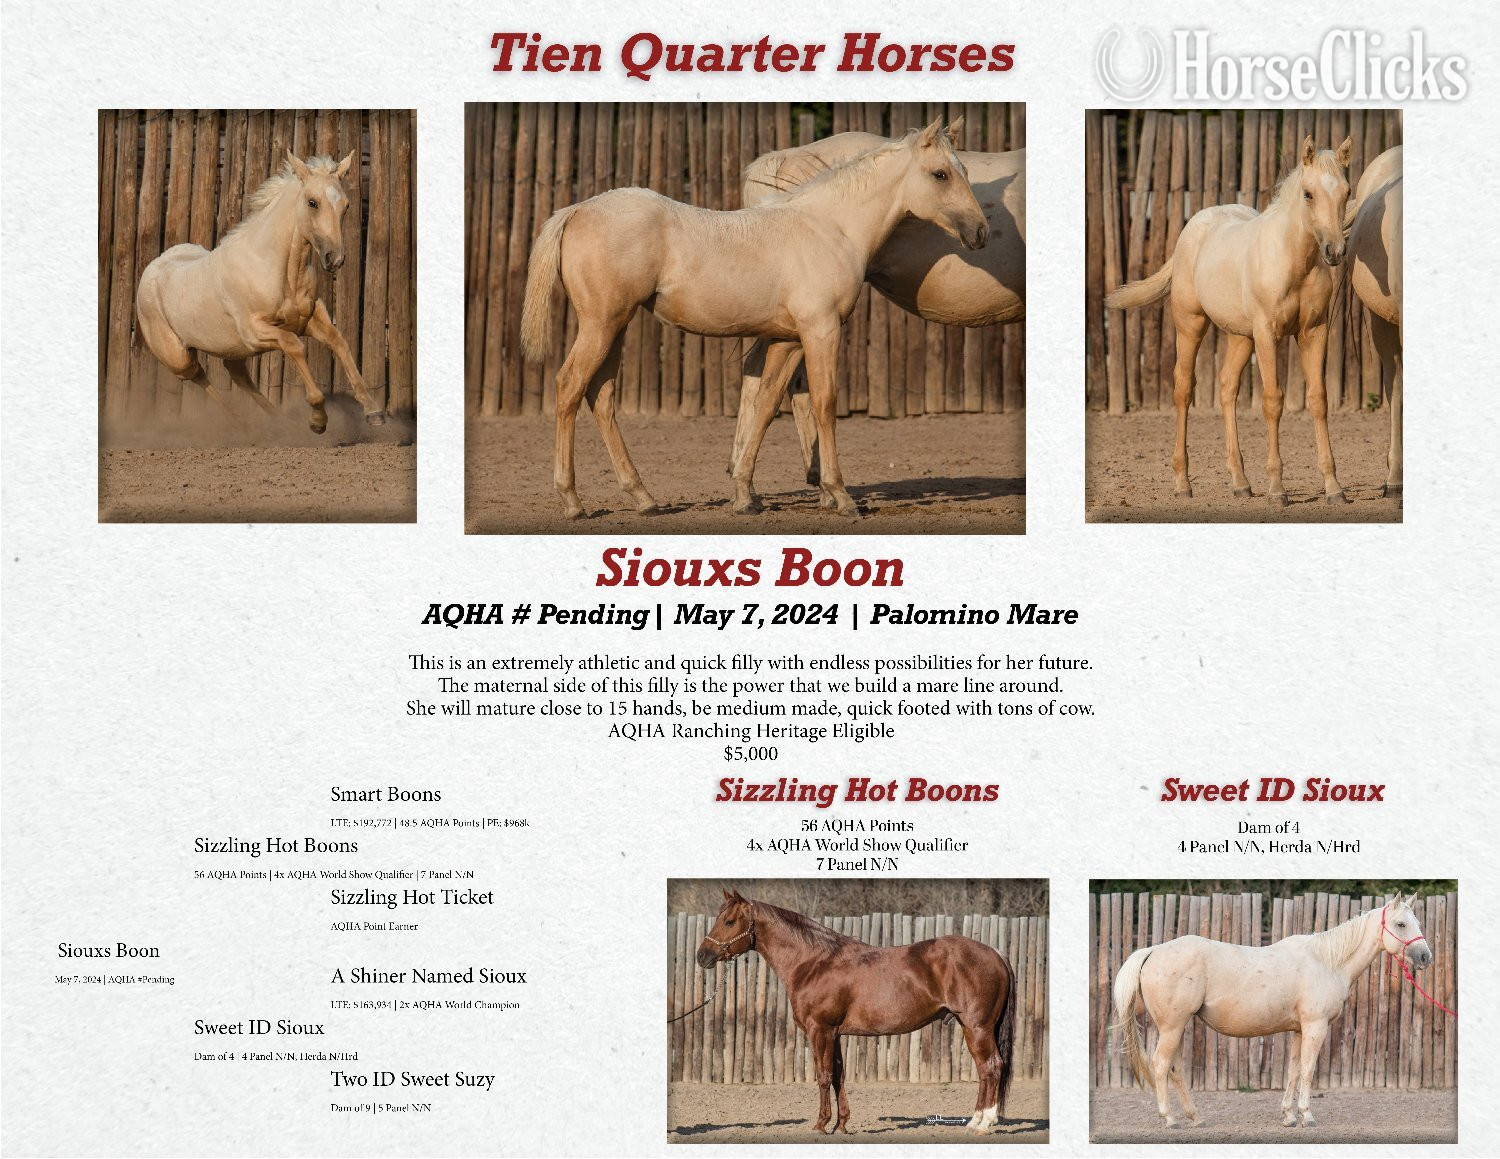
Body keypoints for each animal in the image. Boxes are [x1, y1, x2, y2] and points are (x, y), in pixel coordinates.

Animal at [136, 151, 386, 434]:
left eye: (346, 205)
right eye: (312, 202)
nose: (334, 259)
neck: (274, 267)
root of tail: (151, 268)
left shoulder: (309, 318)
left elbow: (339, 341)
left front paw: (373, 411)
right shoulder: (255, 332)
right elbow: (294, 345)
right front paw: (318, 419)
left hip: (232, 348)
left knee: (237, 374)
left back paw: (278, 423)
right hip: (178, 357)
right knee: (199, 374)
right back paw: (242, 424)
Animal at [520, 119, 988, 520]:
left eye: (964, 169)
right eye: (941, 174)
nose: (980, 233)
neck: (829, 228)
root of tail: (578, 209)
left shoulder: (788, 339)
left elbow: (764, 405)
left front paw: (745, 494)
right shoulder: (821, 331)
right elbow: (824, 403)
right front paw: (840, 496)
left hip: (615, 326)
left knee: (600, 396)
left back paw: (643, 497)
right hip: (602, 323)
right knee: (569, 387)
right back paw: (573, 501)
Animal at [695, 889, 1017, 1134]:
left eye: (729, 921)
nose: (702, 956)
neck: (814, 962)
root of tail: (996, 953)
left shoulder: (820, 1030)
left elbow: (823, 1076)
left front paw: (820, 1125)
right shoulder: (835, 1033)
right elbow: (839, 1075)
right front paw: (841, 1125)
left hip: (977, 1027)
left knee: (991, 1067)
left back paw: (984, 1124)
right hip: (969, 1026)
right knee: (984, 1070)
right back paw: (974, 1121)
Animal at [1106, 135, 1353, 507]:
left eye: (1346, 191)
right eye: (1308, 194)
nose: (1334, 252)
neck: (1294, 260)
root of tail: (1192, 227)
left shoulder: (1313, 331)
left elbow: (1319, 400)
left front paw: (1334, 487)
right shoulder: (1267, 334)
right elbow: (1273, 401)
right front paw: (1277, 490)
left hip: (1241, 336)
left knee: (1226, 388)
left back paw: (1240, 482)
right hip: (1191, 325)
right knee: (1183, 388)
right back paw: (1183, 483)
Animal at [1111, 894, 1433, 1129]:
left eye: (1416, 921)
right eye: (1401, 924)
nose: (1425, 957)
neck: (1326, 961)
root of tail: (1153, 951)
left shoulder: (1300, 1030)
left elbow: (1293, 1071)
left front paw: (1289, 1116)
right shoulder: (1315, 1027)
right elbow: (1307, 1070)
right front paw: (1307, 1115)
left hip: (1176, 1027)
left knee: (1174, 1068)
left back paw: (1195, 1118)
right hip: (1172, 1027)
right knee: (1161, 1065)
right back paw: (1170, 1119)